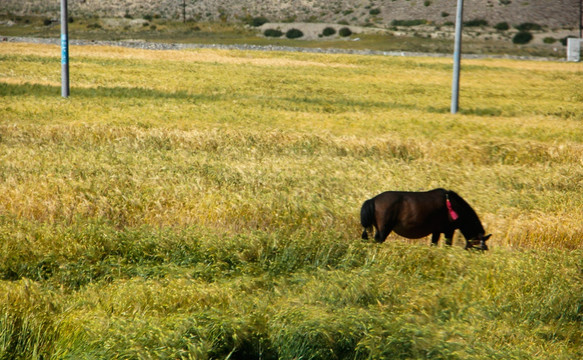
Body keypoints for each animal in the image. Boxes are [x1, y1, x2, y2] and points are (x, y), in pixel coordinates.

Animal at [362, 188, 490, 250]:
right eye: (481, 248)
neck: (454, 206)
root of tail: (373, 200)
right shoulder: (449, 230)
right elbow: (447, 245)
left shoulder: (436, 231)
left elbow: (433, 244)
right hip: (384, 230)